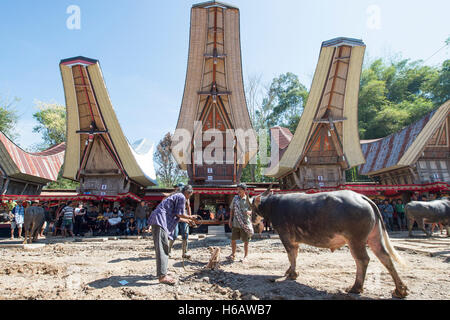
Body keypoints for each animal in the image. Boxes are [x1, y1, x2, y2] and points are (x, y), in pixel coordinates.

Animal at [248, 189, 410, 298]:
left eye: (252, 208)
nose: (252, 219)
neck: (273, 205)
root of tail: (362, 197)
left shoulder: (286, 236)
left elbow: (291, 255)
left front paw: (292, 274)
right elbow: (295, 255)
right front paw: (289, 271)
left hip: (356, 240)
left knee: (363, 260)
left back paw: (356, 288)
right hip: (374, 237)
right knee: (385, 257)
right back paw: (400, 290)